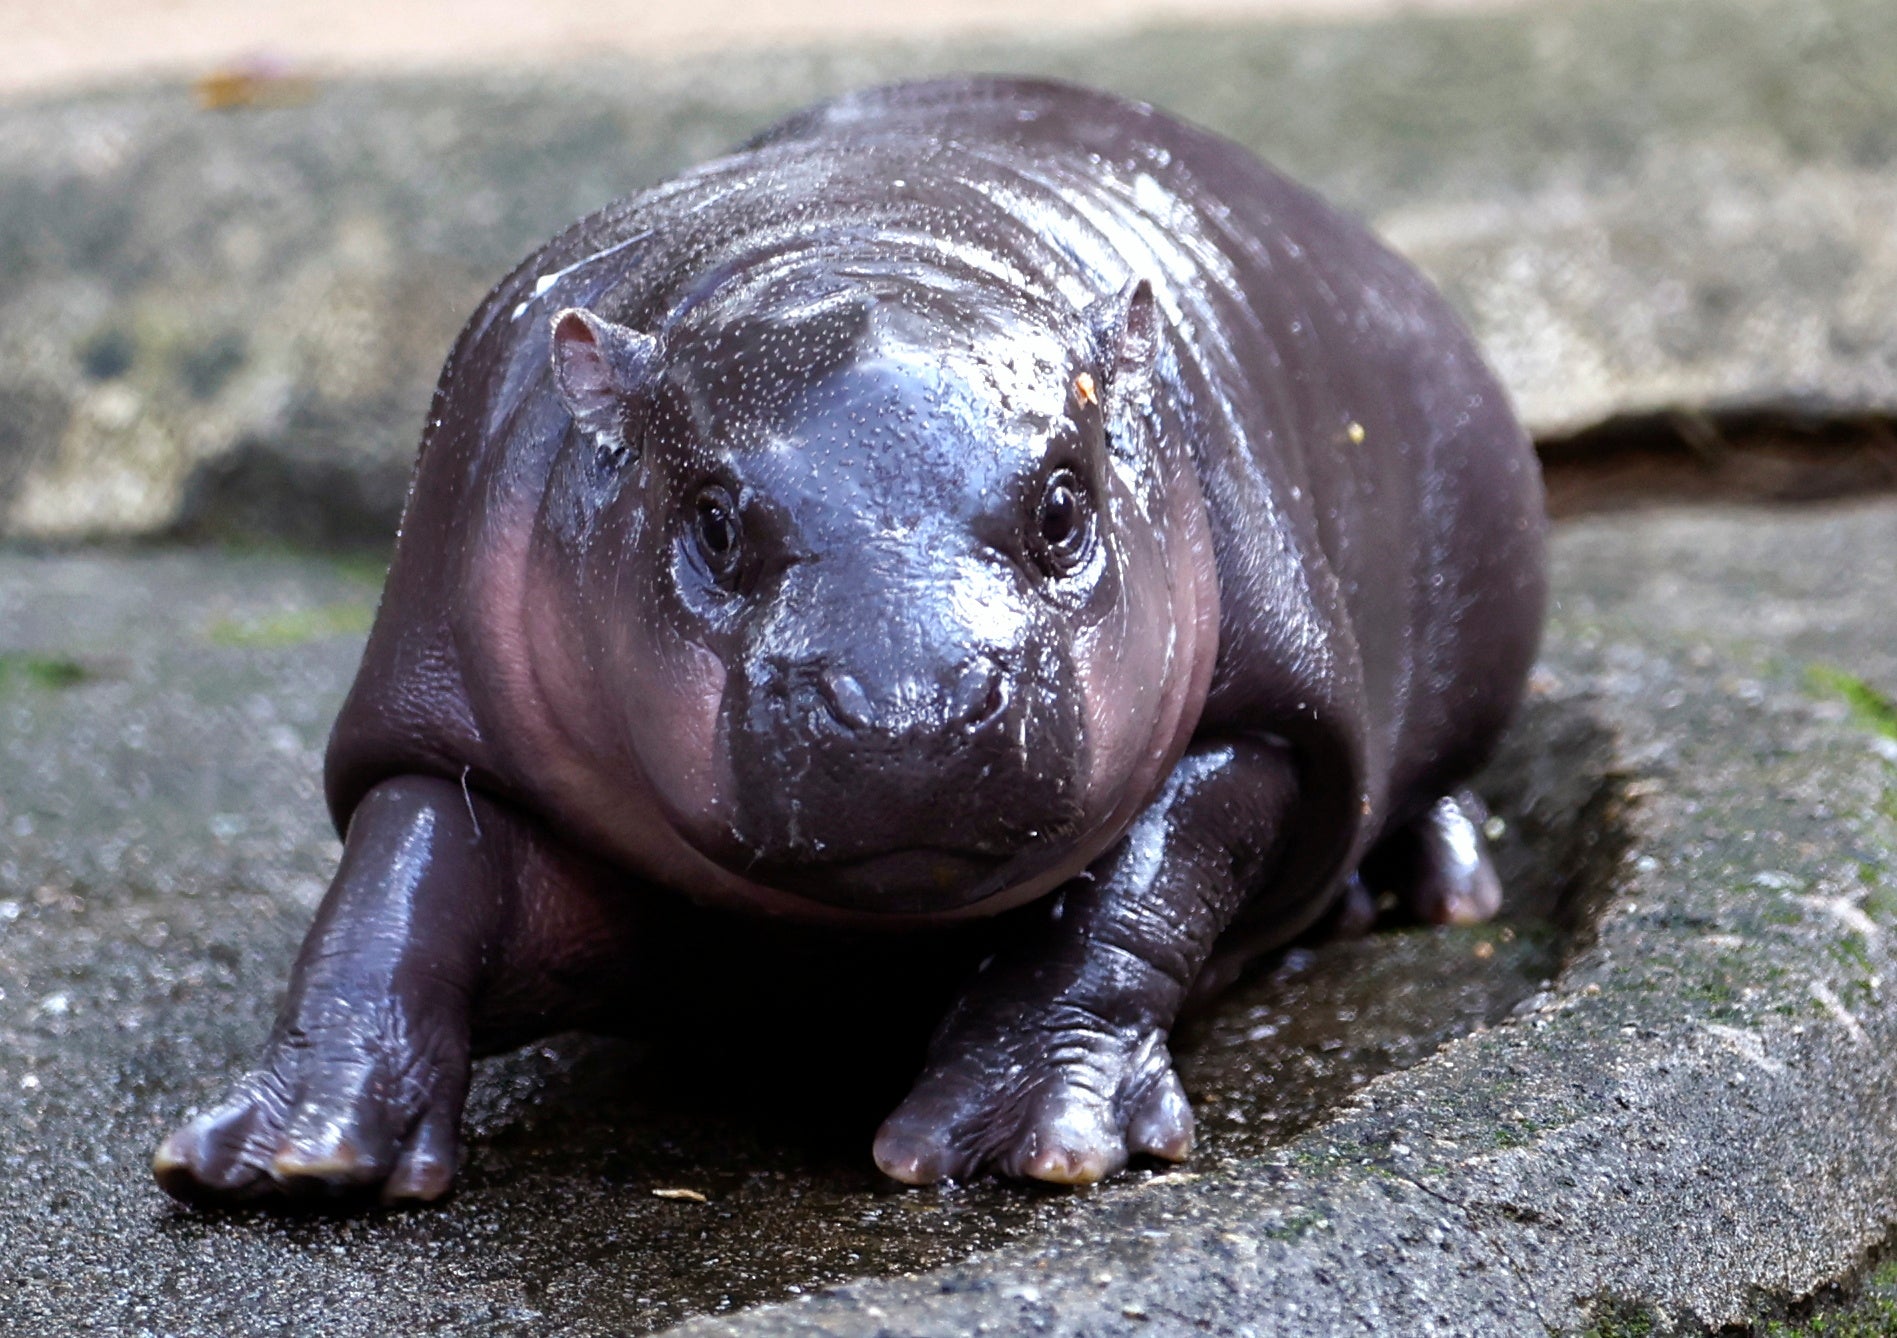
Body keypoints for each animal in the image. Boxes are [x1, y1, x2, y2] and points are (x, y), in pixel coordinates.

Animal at [154, 76, 1544, 1204]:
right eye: (712, 521)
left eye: (1063, 504)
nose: (907, 704)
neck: (858, 243)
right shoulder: (444, 712)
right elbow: (400, 877)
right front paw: (290, 1156)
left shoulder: (1258, 713)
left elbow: (1135, 894)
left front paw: (1024, 1140)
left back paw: (1430, 890)